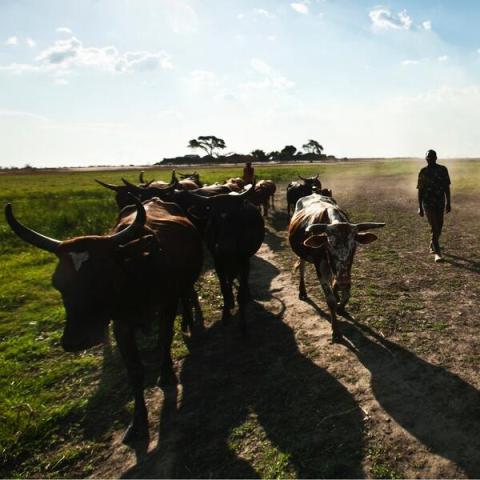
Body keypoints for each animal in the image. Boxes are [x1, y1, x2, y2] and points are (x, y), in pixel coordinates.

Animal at [4, 195, 202, 446]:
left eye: (103, 276)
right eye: (57, 282)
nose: (76, 341)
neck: (136, 273)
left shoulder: (167, 304)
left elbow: (164, 340)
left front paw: (166, 373)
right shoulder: (121, 325)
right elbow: (134, 370)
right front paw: (137, 423)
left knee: (188, 296)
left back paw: (189, 323)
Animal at [286, 193, 384, 344]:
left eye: (353, 246)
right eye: (329, 245)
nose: (342, 282)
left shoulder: (346, 272)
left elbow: (346, 294)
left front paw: (341, 307)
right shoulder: (320, 268)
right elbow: (330, 300)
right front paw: (335, 330)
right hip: (301, 254)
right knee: (302, 269)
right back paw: (302, 291)